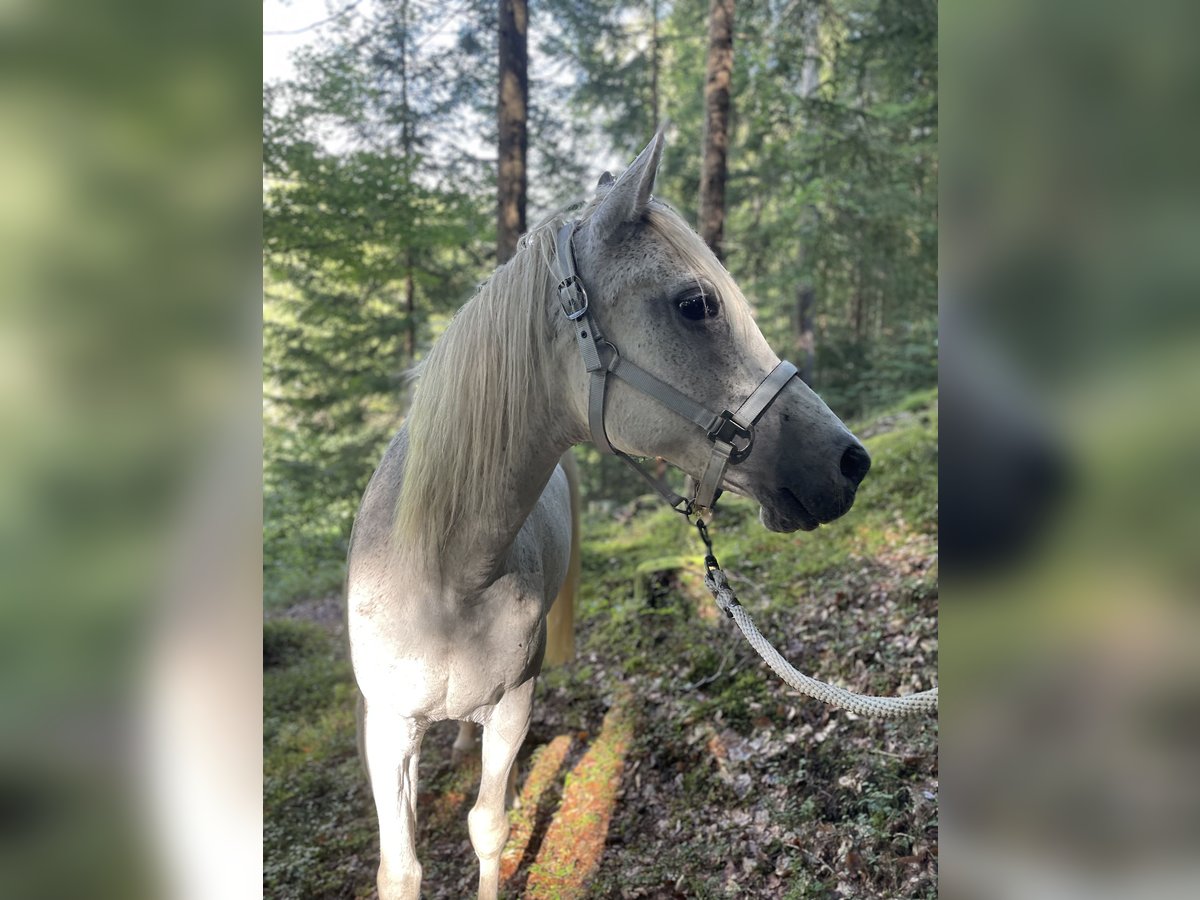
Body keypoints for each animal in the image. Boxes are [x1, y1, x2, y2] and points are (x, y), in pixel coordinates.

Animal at [343, 132, 868, 900]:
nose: (850, 463)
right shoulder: (387, 730)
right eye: (695, 304)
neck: (446, 574)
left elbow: (489, 827)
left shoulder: (514, 705)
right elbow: (401, 868)